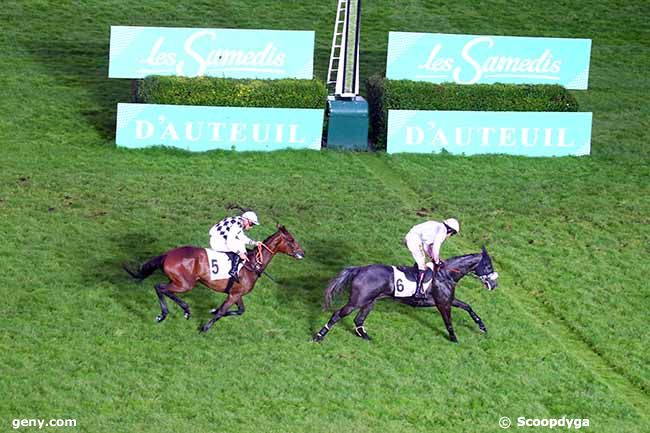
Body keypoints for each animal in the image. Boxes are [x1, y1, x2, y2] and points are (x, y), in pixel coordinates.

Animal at [124, 224, 304, 332]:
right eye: (291, 240)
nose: (302, 253)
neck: (252, 264)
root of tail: (168, 254)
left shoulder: (236, 294)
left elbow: (239, 311)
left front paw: (213, 310)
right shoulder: (234, 295)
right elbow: (223, 312)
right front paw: (205, 327)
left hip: (178, 281)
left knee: (165, 290)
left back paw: (180, 310)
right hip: (185, 284)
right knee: (160, 287)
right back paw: (171, 312)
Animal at [312, 248, 498, 342]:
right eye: (488, 266)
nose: (495, 284)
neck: (445, 274)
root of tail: (359, 269)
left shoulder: (448, 299)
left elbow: (467, 306)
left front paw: (482, 326)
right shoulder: (443, 303)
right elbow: (449, 322)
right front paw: (453, 338)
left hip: (370, 301)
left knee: (358, 320)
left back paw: (364, 336)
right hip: (357, 301)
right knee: (337, 314)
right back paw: (319, 336)